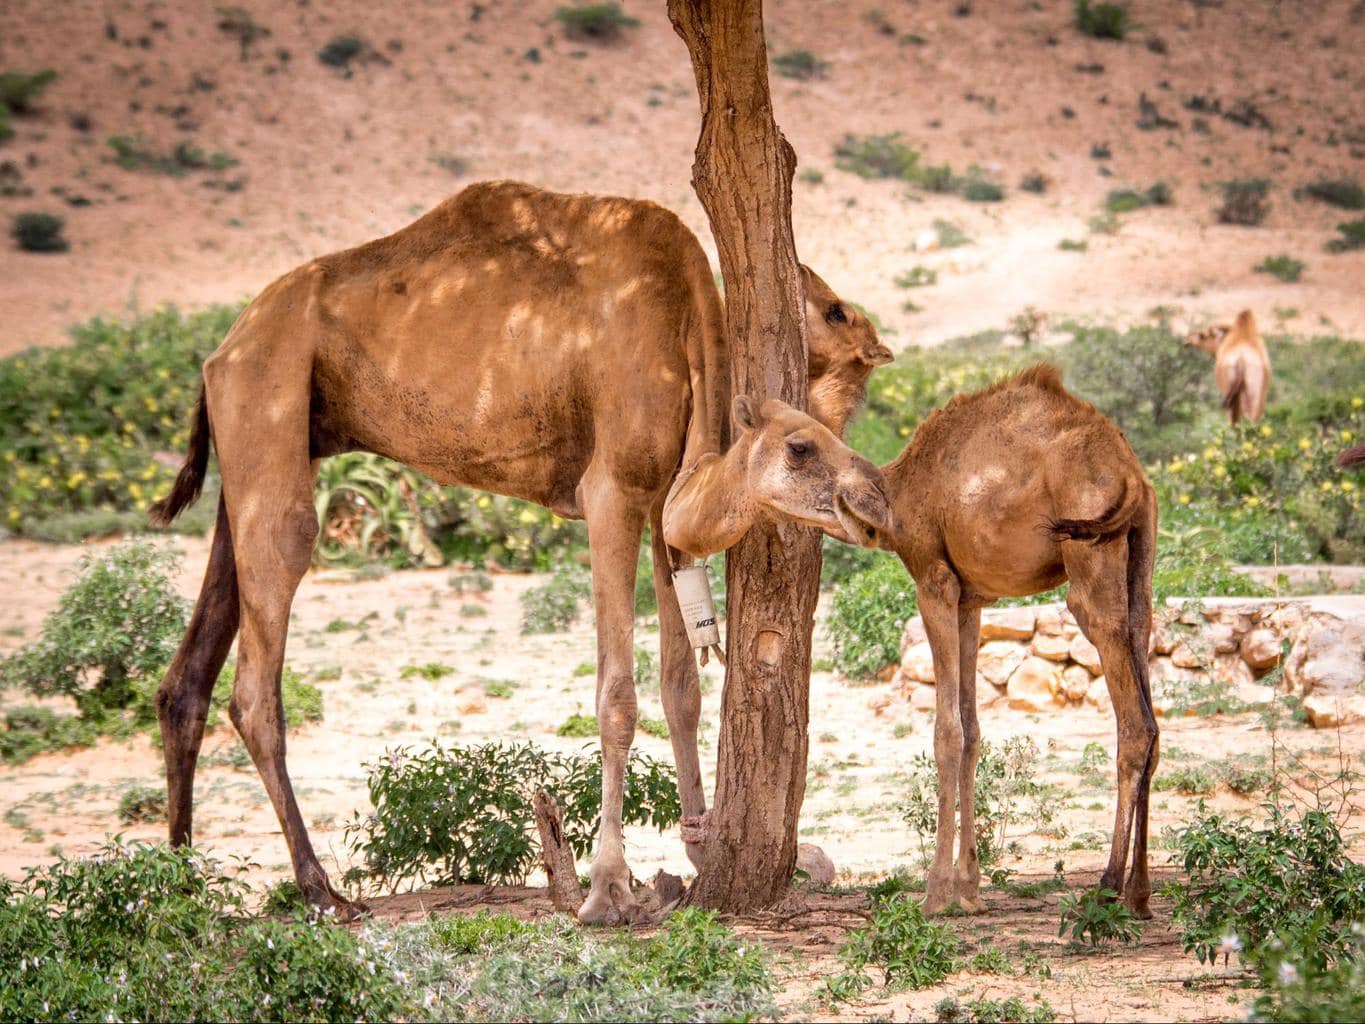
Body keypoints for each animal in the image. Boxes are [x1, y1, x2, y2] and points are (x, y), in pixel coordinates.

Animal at [152, 180, 895, 928]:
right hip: (269, 407)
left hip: (258, 450)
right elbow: (618, 696)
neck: (685, 315)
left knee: (186, 679)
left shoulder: (663, 498)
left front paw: (699, 854)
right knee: (258, 670)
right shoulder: (611, 491)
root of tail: (225, 347)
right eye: (801, 448)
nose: (873, 500)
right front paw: (606, 889)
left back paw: (182, 887)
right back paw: (319, 892)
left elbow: (679, 686)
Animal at [666, 365, 1157, 922]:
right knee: (1151, 706)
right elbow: (973, 731)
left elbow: (948, 733)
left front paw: (936, 892)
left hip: (1090, 557)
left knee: (1134, 724)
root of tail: (1132, 476)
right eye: (801, 446)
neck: (901, 498)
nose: (863, 497)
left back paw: (1106, 889)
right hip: (1140, 560)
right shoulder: (971, 598)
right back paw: (1140, 892)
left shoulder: (933, 580)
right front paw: (970, 890)